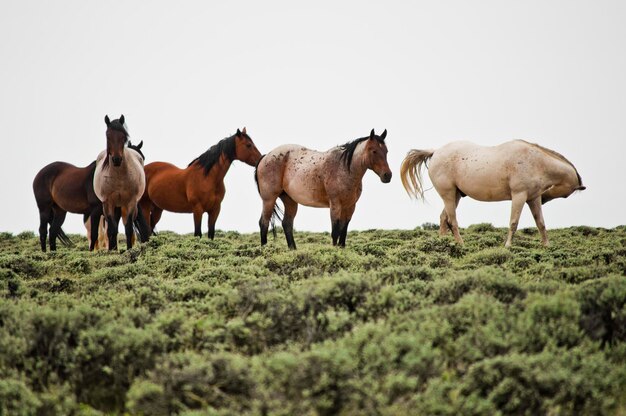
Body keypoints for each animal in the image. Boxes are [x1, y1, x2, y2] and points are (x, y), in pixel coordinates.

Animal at [92, 114, 149, 250]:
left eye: (123, 136)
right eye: (108, 136)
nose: (117, 159)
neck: (118, 177)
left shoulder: (130, 203)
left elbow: (128, 229)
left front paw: (129, 250)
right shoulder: (108, 203)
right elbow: (111, 230)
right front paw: (112, 251)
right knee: (113, 227)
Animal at [254, 128, 390, 249]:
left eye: (386, 151)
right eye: (374, 151)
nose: (387, 175)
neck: (344, 169)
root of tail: (265, 157)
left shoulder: (350, 206)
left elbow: (343, 231)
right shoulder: (335, 205)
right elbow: (335, 231)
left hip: (290, 200)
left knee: (287, 223)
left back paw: (293, 249)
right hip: (269, 200)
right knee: (264, 223)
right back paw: (265, 249)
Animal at [400, 141, 584, 249]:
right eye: (567, 195)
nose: (545, 199)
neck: (536, 162)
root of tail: (435, 152)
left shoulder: (533, 198)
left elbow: (541, 223)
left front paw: (547, 245)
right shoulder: (519, 195)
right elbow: (513, 223)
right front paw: (508, 246)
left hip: (456, 196)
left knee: (443, 218)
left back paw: (442, 243)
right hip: (449, 195)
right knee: (452, 220)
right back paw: (461, 244)